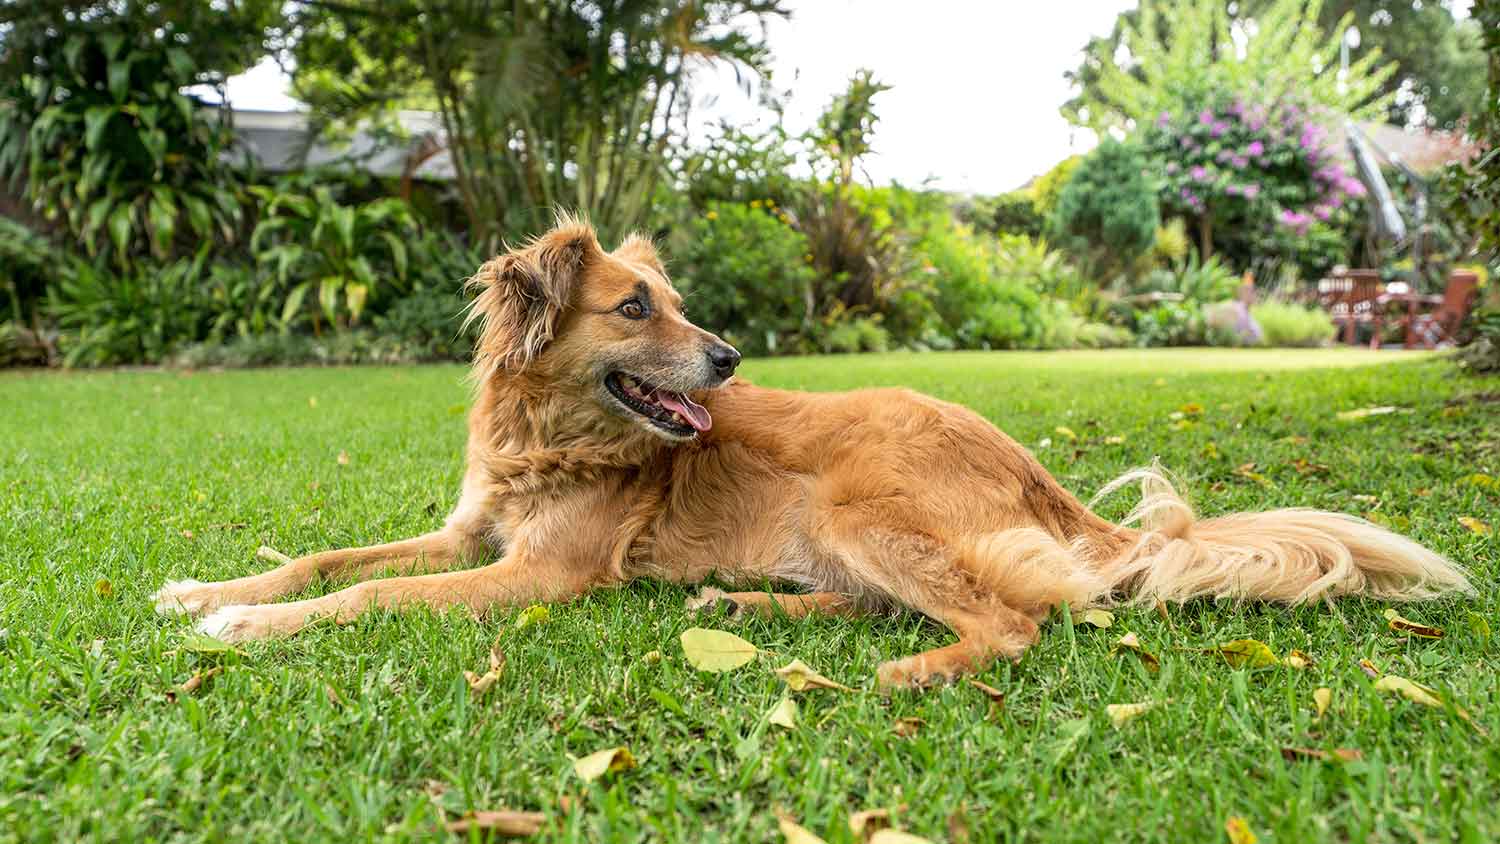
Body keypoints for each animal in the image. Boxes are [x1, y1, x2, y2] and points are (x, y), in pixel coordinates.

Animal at [155, 214, 1476, 689]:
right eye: (634, 308)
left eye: (680, 305)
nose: (732, 355)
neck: (548, 438)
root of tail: (1042, 480)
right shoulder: (467, 531)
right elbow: (330, 558)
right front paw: (211, 589)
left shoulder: (535, 573)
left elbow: (369, 593)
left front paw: (248, 624)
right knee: (904, 599)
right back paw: (755, 608)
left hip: (852, 503)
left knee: (1008, 620)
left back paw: (911, 671)